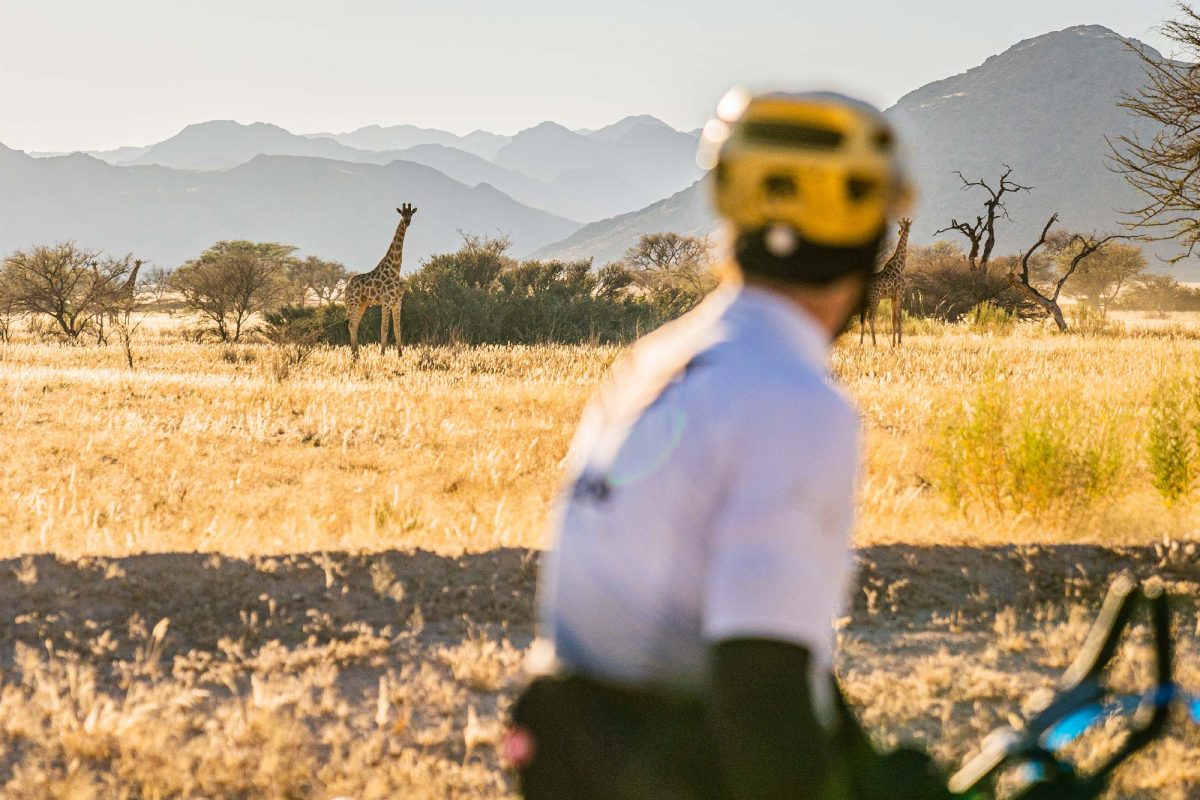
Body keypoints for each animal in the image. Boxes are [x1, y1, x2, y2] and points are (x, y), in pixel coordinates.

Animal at [345, 203, 420, 359]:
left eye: (411, 213)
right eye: (402, 214)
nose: (407, 222)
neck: (395, 269)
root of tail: (346, 287)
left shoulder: (397, 301)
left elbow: (397, 328)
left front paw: (400, 355)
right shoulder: (386, 301)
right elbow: (384, 328)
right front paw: (382, 355)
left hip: (362, 304)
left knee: (355, 325)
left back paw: (357, 355)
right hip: (353, 302)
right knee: (351, 325)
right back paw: (354, 355)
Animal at [864, 217, 907, 345]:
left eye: (901, 227)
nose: (899, 232)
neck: (899, 266)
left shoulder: (893, 297)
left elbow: (894, 319)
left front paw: (894, 344)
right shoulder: (900, 294)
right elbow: (899, 318)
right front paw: (899, 343)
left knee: (863, 319)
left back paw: (861, 343)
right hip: (875, 298)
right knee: (870, 318)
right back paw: (874, 343)